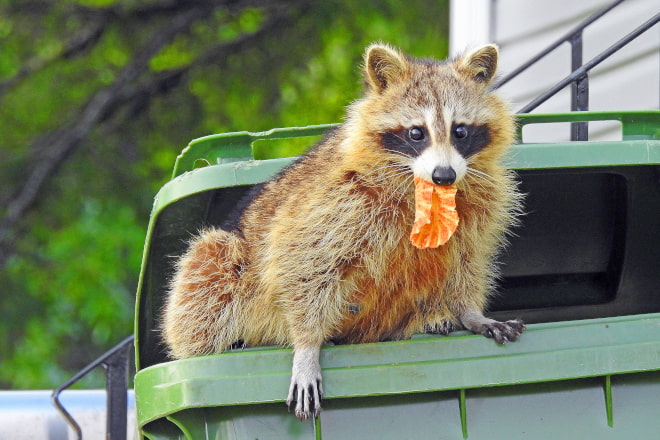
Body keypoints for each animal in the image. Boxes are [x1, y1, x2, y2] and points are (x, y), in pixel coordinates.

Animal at [162, 43, 524, 422]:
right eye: (416, 133)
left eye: (460, 131)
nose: (444, 175)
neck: (424, 189)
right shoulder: (337, 200)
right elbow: (300, 261)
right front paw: (306, 345)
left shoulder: (479, 205)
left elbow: (466, 260)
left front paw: (469, 312)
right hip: (223, 263)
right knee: (208, 268)